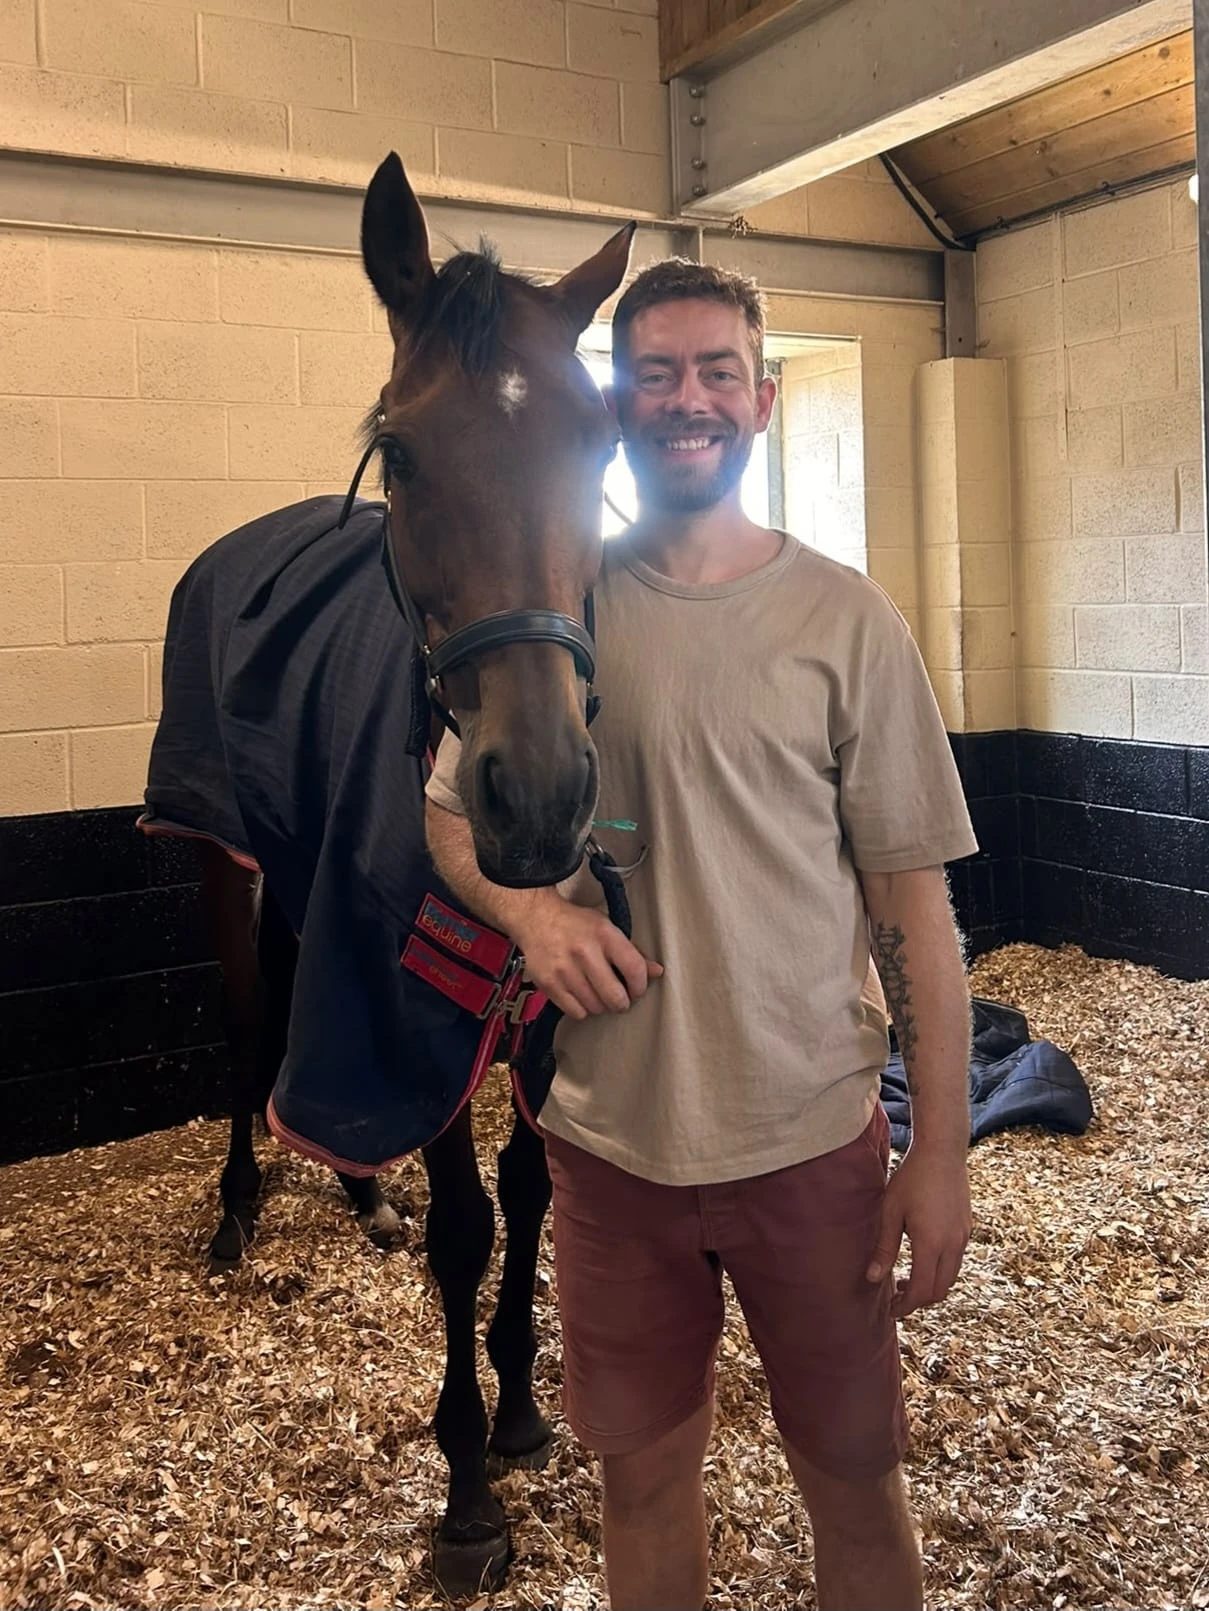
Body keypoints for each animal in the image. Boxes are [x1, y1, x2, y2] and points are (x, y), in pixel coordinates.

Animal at [141, 151, 634, 1596]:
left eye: (601, 440)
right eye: (403, 451)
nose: (540, 795)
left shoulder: (541, 997)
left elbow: (530, 1189)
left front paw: (523, 1409)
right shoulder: (418, 993)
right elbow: (467, 1224)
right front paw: (468, 1491)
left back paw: (360, 1195)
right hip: (220, 858)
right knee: (252, 1027)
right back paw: (240, 1210)